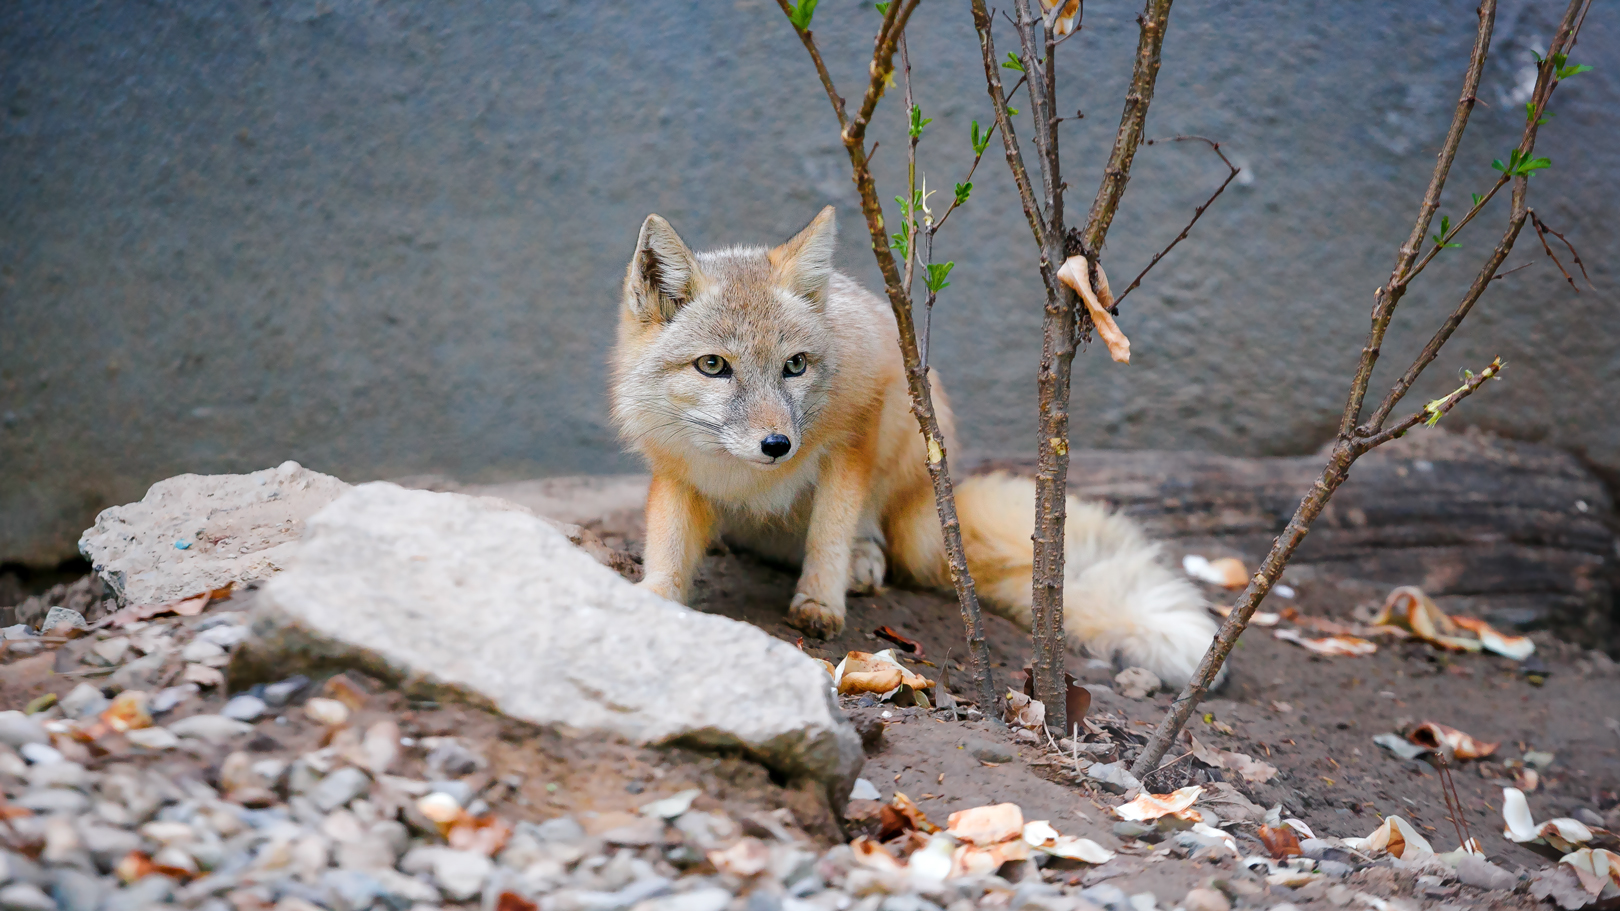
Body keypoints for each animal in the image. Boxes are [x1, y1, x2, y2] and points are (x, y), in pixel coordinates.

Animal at [609, 206, 1221, 687]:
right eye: (714, 366)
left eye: (795, 366)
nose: (778, 444)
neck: (750, 478)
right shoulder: (676, 473)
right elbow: (666, 549)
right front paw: (652, 603)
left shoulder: (857, 431)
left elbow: (829, 534)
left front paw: (820, 602)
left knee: (870, 537)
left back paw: (864, 560)